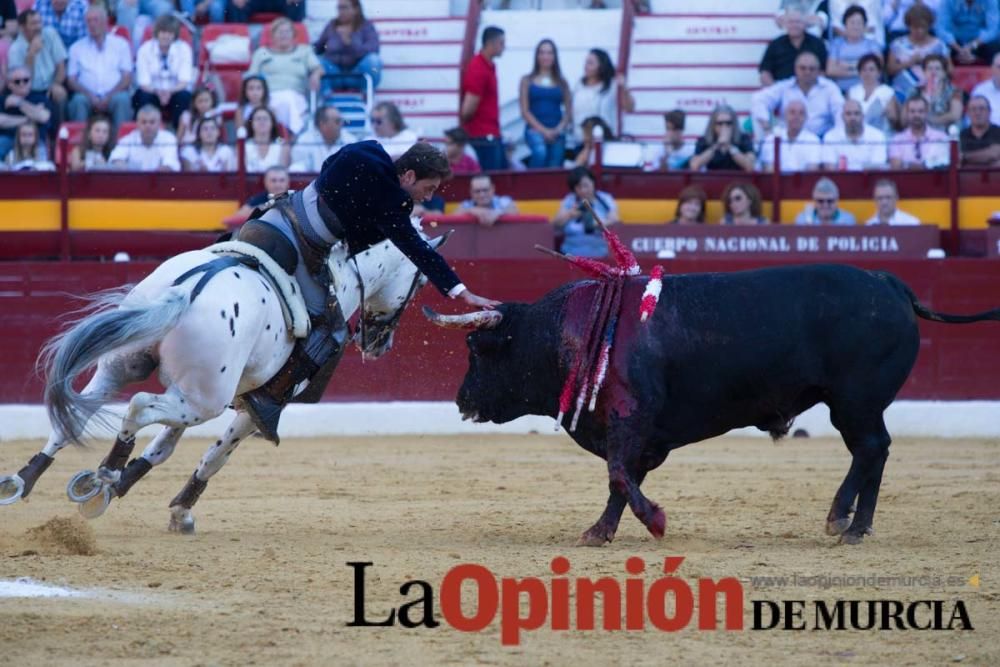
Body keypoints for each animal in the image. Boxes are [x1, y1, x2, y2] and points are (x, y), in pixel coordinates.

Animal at [424, 264, 1000, 544]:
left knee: (871, 448)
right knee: (874, 451)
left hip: (853, 401)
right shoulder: (638, 434)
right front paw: (600, 531)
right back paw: (858, 527)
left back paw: (841, 519)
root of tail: (890, 284)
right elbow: (621, 478)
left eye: (478, 350)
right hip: (860, 405)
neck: (574, 332)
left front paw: (654, 521)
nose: (460, 399)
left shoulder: (630, 419)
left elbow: (618, 474)